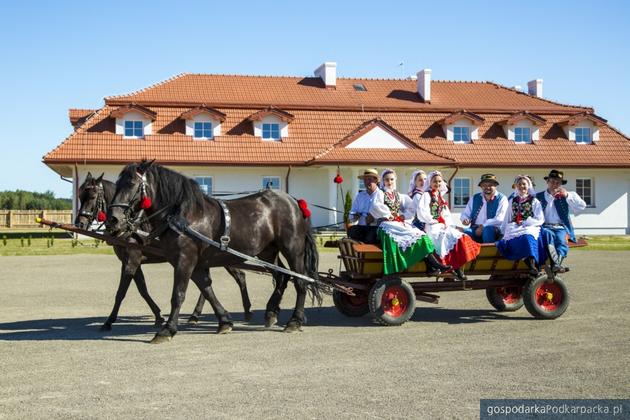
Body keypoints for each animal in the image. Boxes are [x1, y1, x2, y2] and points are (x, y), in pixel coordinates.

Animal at [78, 172, 254, 330]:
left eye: (92, 196)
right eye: (80, 196)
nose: (80, 223)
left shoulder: (132, 259)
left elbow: (122, 291)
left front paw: (108, 321)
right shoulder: (131, 261)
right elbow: (142, 289)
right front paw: (158, 316)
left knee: (240, 277)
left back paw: (246, 310)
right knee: (208, 284)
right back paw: (198, 315)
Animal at [107, 162, 320, 342]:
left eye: (132, 184)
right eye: (117, 184)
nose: (113, 220)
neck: (185, 216)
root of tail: (293, 201)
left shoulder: (185, 260)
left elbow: (178, 295)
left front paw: (167, 330)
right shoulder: (195, 264)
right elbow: (207, 290)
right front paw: (224, 321)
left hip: (293, 249)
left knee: (300, 281)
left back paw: (294, 320)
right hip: (268, 252)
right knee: (282, 277)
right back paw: (270, 313)